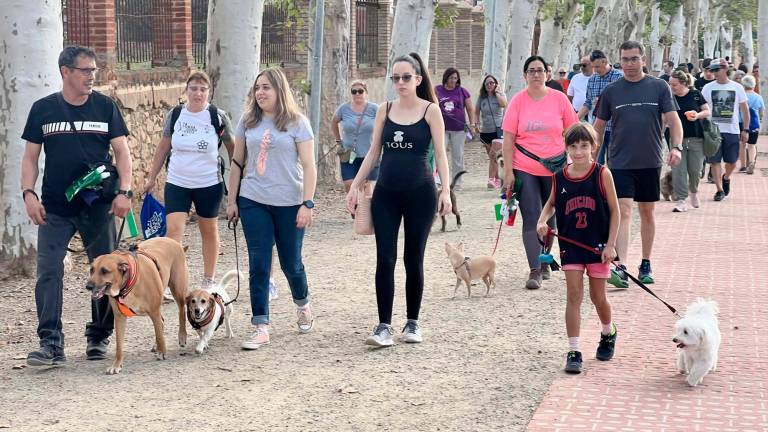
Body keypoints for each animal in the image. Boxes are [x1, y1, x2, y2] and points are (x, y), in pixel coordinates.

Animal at [86, 236, 189, 374]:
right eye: (91, 270)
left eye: (104, 271)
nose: (88, 286)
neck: (128, 284)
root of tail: (172, 241)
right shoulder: (120, 317)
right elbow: (119, 346)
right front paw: (116, 365)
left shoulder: (154, 311)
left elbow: (159, 334)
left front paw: (162, 351)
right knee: (161, 323)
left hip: (177, 289)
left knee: (181, 312)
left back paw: (181, 336)